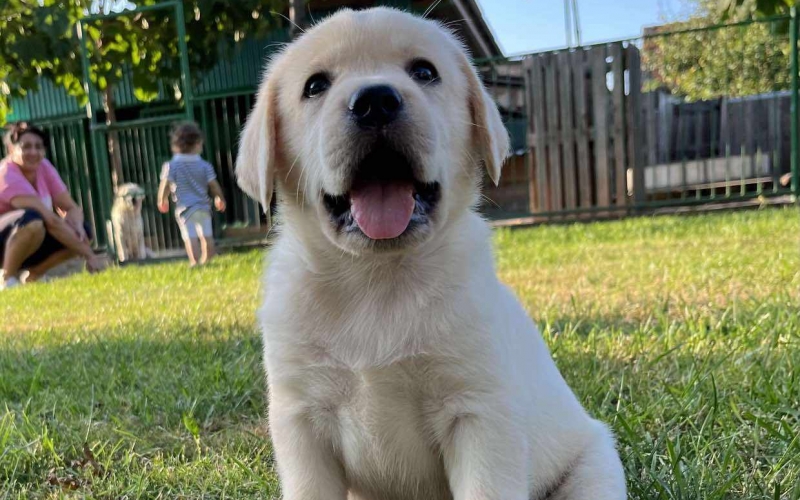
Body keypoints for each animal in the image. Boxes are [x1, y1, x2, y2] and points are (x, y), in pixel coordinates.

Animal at [234, 7, 628, 500]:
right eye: (315, 85)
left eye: (424, 72)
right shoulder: (301, 418)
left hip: (594, 465)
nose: (375, 101)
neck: (376, 281)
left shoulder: (479, 412)